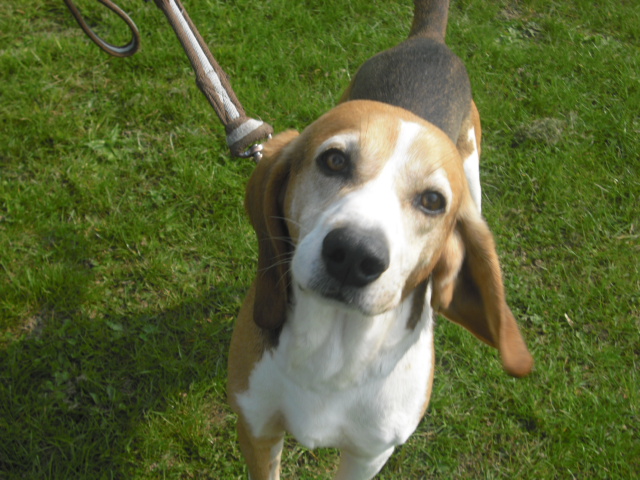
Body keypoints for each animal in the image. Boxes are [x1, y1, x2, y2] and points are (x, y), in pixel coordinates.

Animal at [228, 1, 532, 478]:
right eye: (334, 160)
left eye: (432, 201)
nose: (354, 255)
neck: (331, 358)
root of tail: (429, 40)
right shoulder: (256, 428)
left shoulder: (369, 454)